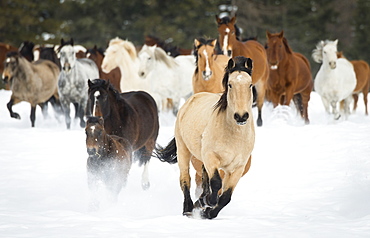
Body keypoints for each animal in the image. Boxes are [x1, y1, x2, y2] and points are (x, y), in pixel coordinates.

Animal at [155, 56, 254, 219]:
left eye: (250, 84)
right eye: (230, 85)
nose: (241, 116)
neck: (233, 135)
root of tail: (192, 98)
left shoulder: (237, 168)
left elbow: (226, 196)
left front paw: (208, 211)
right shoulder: (211, 157)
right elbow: (216, 183)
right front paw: (208, 202)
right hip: (183, 150)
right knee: (185, 179)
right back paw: (188, 208)